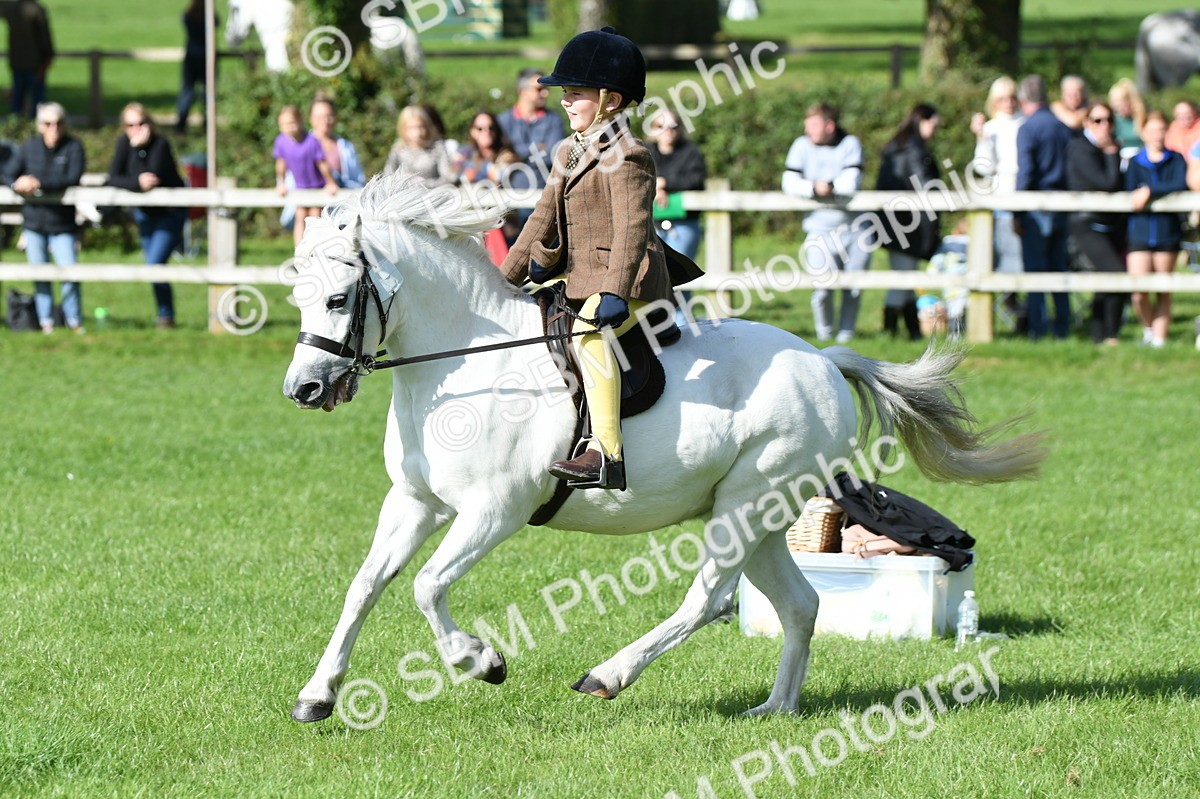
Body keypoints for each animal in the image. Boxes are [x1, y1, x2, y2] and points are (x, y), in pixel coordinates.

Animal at [281, 175, 1046, 722]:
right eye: (300, 300)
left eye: (340, 299)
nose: (304, 388)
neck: (465, 360)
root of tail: (824, 361)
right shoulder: (414, 502)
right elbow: (365, 585)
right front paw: (318, 694)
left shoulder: (493, 512)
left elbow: (427, 585)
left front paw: (482, 661)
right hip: (762, 516)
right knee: (800, 605)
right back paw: (775, 708)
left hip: (743, 505)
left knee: (706, 599)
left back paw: (607, 676)